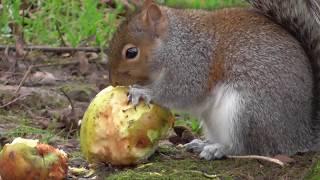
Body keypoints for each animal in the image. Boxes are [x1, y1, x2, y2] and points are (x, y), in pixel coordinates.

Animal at [107, 0, 320, 160]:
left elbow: (181, 92)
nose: (113, 81)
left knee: (247, 148)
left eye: (131, 52)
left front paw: (143, 92)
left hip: (248, 112)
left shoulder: (195, 64)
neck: (174, 43)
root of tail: (300, 134)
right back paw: (203, 143)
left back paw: (218, 149)